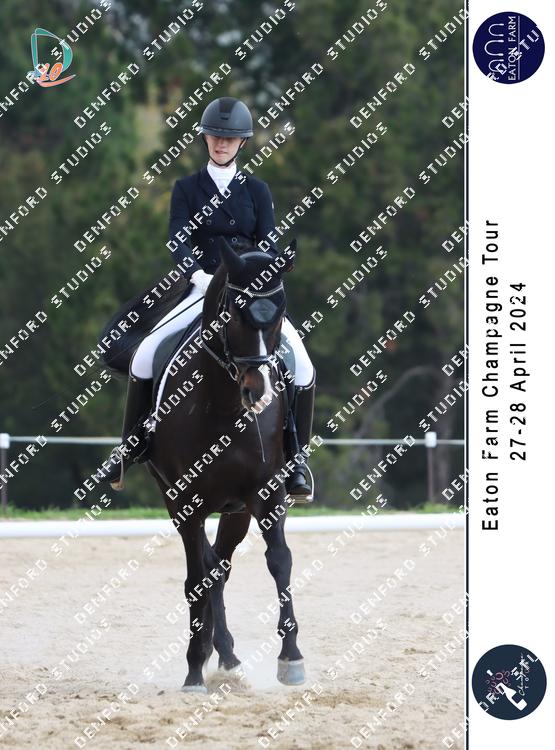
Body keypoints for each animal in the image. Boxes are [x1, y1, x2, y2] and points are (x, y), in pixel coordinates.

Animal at [145, 238, 306, 692]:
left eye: (281, 312)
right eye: (234, 312)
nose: (258, 391)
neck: (224, 406)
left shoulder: (265, 493)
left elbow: (279, 560)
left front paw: (291, 658)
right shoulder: (186, 503)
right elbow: (196, 580)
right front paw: (193, 670)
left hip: (236, 511)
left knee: (219, 565)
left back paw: (228, 656)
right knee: (207, 570)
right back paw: (213, 656)